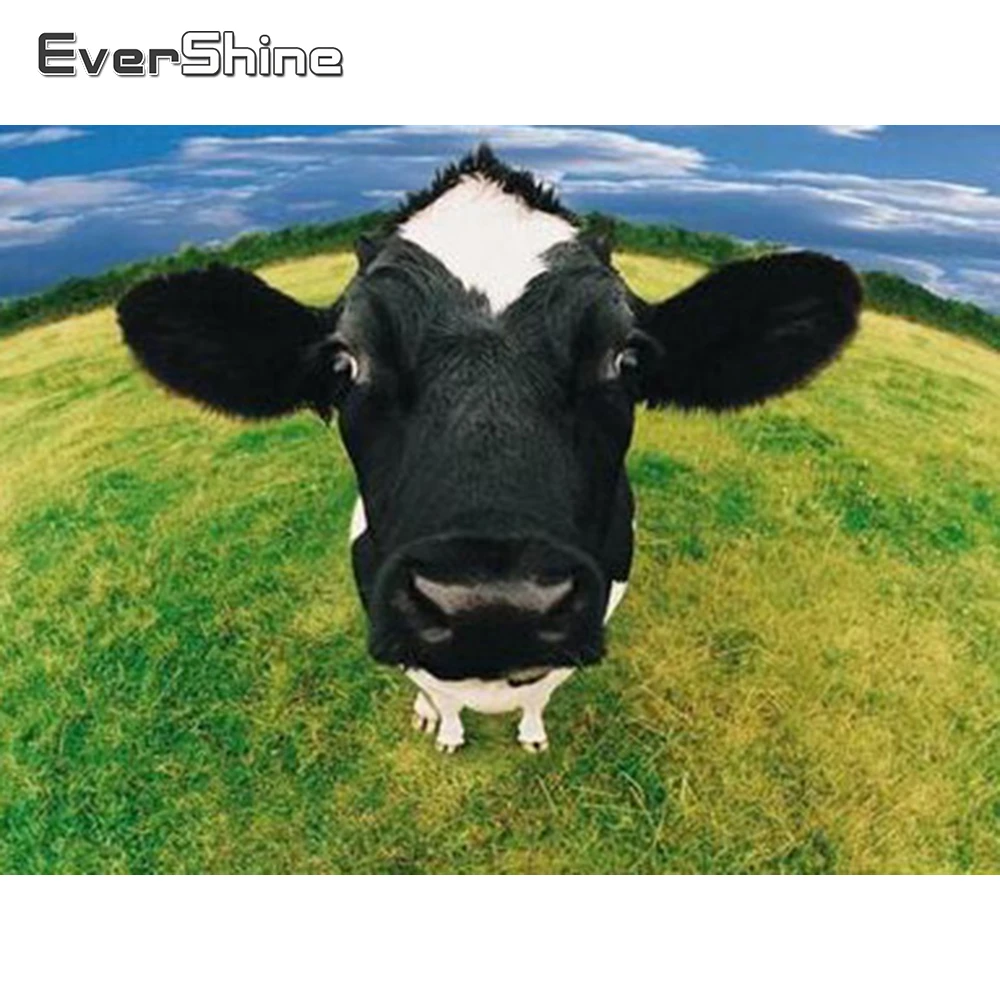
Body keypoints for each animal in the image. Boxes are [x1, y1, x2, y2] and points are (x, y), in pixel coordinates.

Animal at [118, 145, 861, 753]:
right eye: (345, 364)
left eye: (625, 360)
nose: (491, 605)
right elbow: (438, 691)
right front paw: (445, 728)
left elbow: (541, 691)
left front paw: (530, 732)